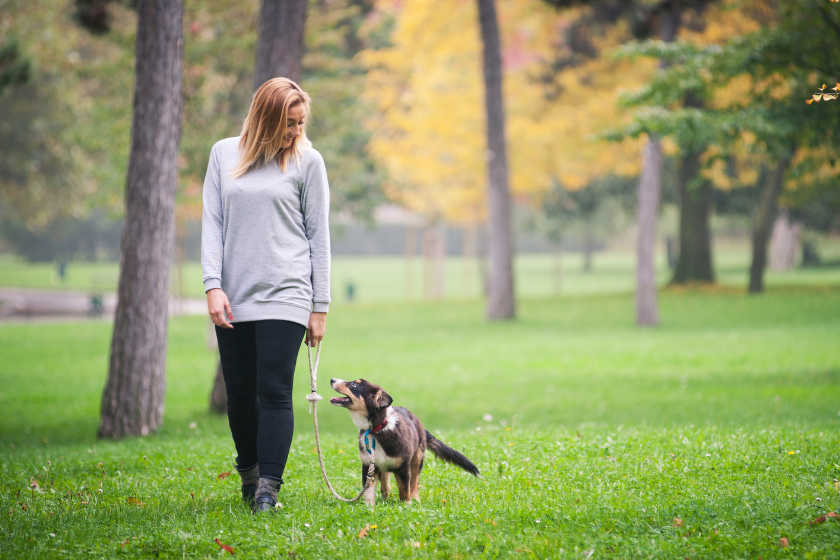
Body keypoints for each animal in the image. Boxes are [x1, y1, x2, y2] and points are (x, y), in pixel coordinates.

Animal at [330, 378, 480, 506]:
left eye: (354, 385)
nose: (332, 379)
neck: (378, 429)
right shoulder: (368, 465)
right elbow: (369, 491)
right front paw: (369, 508)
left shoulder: (403, 466)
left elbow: (404, 489)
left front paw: (406, 506)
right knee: (386, 484)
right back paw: (386, 500)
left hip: (417, 459)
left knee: (414, 484)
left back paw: (415, 500)